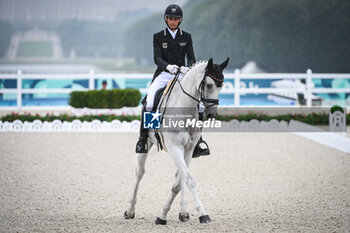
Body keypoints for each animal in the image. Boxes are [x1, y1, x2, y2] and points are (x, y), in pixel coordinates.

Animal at [123, 57, 230, 225]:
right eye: (209, 85)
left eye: (221, 85)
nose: (212, 114)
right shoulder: (175, 148)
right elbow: (189, 180)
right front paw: (203, 214)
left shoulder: (188, 149)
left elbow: (179, 183)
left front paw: (164, 214)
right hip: (148, 144)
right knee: (139, 173)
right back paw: (130, 210)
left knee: (179, 176)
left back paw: (183, 212)